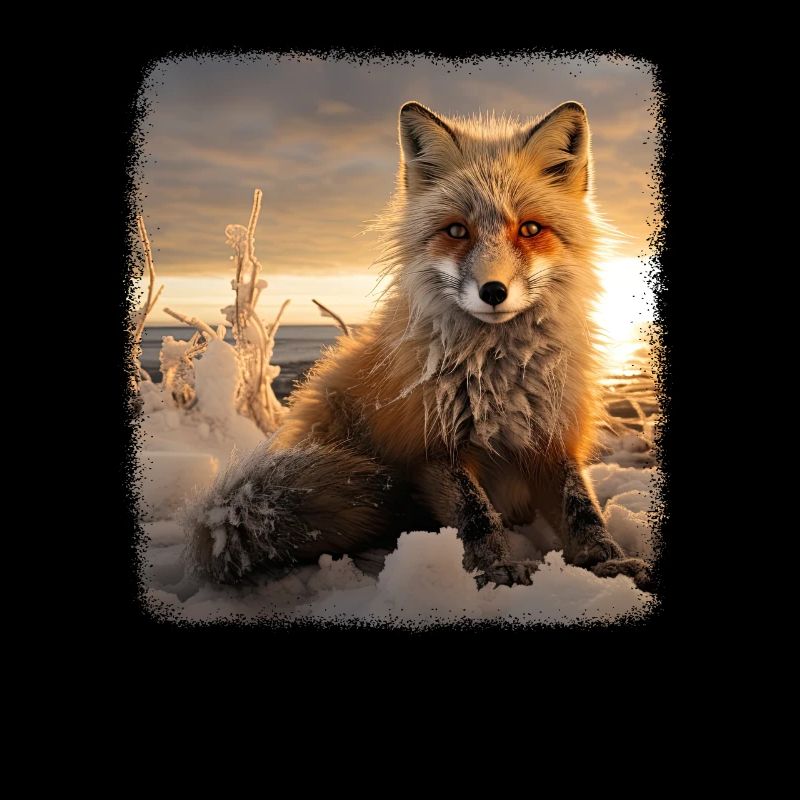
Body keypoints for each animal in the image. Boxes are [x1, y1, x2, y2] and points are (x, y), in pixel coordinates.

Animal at [184, 100, 652, 591]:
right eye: (457, 231)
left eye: (529, 229)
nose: (493, 291)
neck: (499, 378)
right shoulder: (431, 446)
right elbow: (476, 515)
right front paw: (495, 570)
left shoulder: (552, 437)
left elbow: (582, 510)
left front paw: (611, 562)